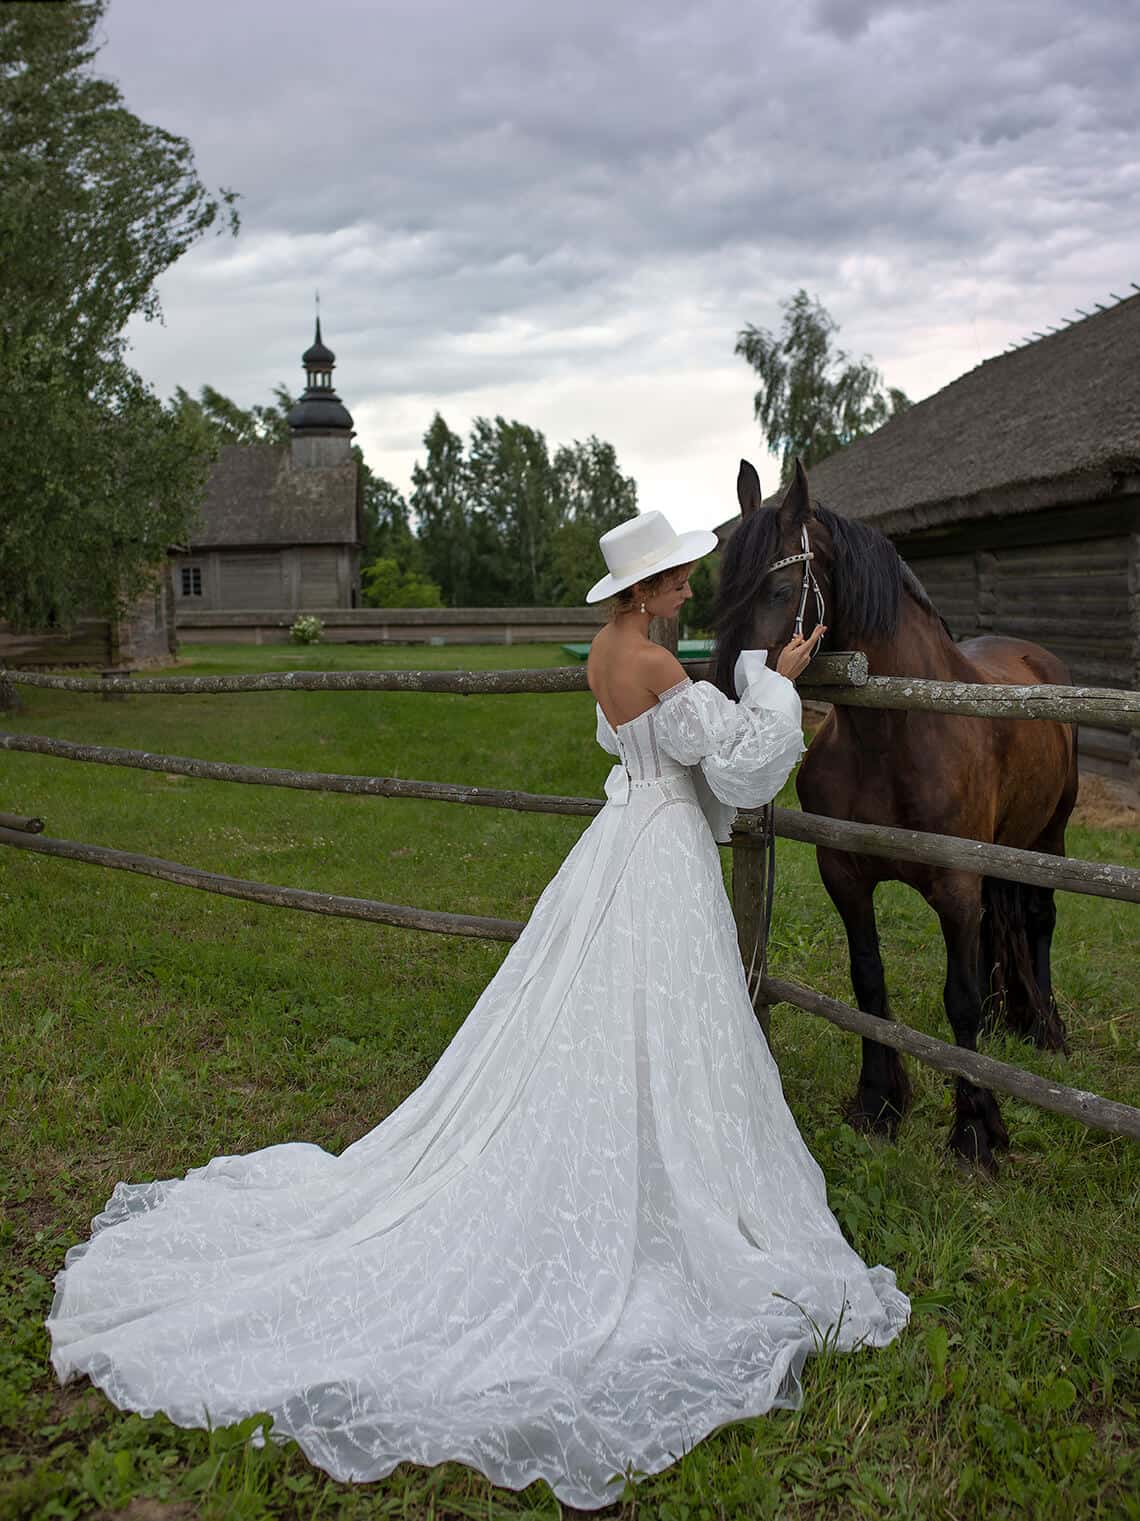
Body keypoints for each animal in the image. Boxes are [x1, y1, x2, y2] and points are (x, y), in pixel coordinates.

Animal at [714, 456, 1082, 1168]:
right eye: (721, 589)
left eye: (778, 591)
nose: (719, 697)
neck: (895, 734)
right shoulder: (845, 877)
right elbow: (868, 981)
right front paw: (880, 1102)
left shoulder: (957, 885)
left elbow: (959, 999)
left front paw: (975, 1130)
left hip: (1047, 839)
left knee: (1038, 921)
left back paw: (1046, 1029)